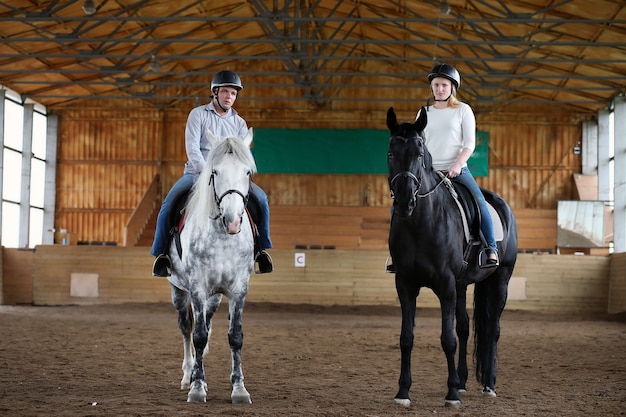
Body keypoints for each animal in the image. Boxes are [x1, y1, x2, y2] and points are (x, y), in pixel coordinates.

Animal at [386, 105, 516, 408]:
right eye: (390, 153)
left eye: (419, 154)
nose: (405, 201)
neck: (421, 223)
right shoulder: (405, 284)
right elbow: (407, 338)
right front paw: (403, 392)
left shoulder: (445, 284)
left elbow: (448, 339)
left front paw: (452, 395)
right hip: (462, 285)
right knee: (466, 327)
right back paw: (463, 381)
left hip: (500, 279)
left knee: (492, 329)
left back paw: (488, 385)